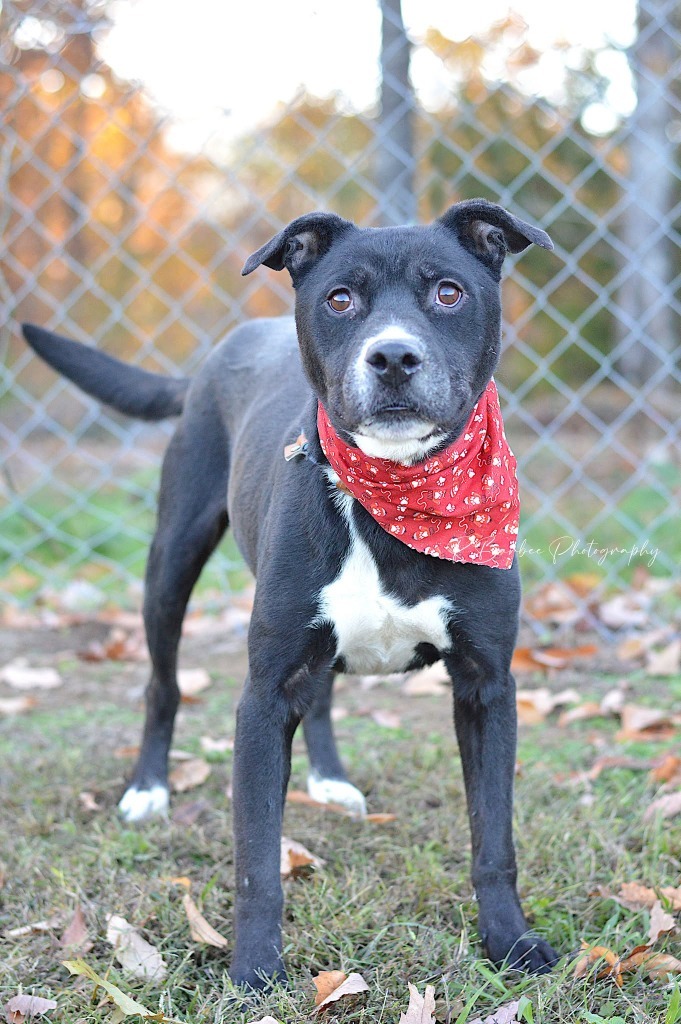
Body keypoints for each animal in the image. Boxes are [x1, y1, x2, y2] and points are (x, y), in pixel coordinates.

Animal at [23, 195, 561, 987]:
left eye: (448, 292)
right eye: (339, 300)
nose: (393, 357)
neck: (394, 494)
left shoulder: (486, 686)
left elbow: (494, 839)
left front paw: (510, 941)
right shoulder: (265, 690)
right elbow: (256, 859)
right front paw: (254, 968)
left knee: (325, 692)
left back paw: (330, 780)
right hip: (170, 561)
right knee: (162, 684)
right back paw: (148, 790)